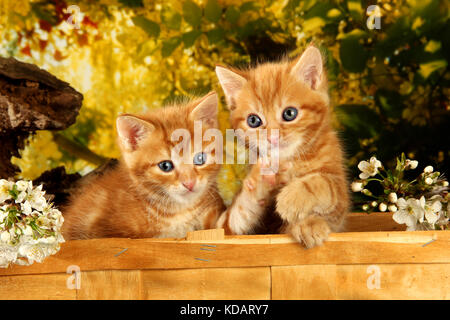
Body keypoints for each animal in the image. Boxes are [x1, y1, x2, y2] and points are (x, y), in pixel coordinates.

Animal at [216, 46, 350, 249]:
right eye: (253, 120)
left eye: (289, 113)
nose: (272, 137)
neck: (292, 161)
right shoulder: (232, 229)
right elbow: (233, 220)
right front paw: (261, 180)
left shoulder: (340, 200)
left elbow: (324, 183)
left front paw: (297, 206)